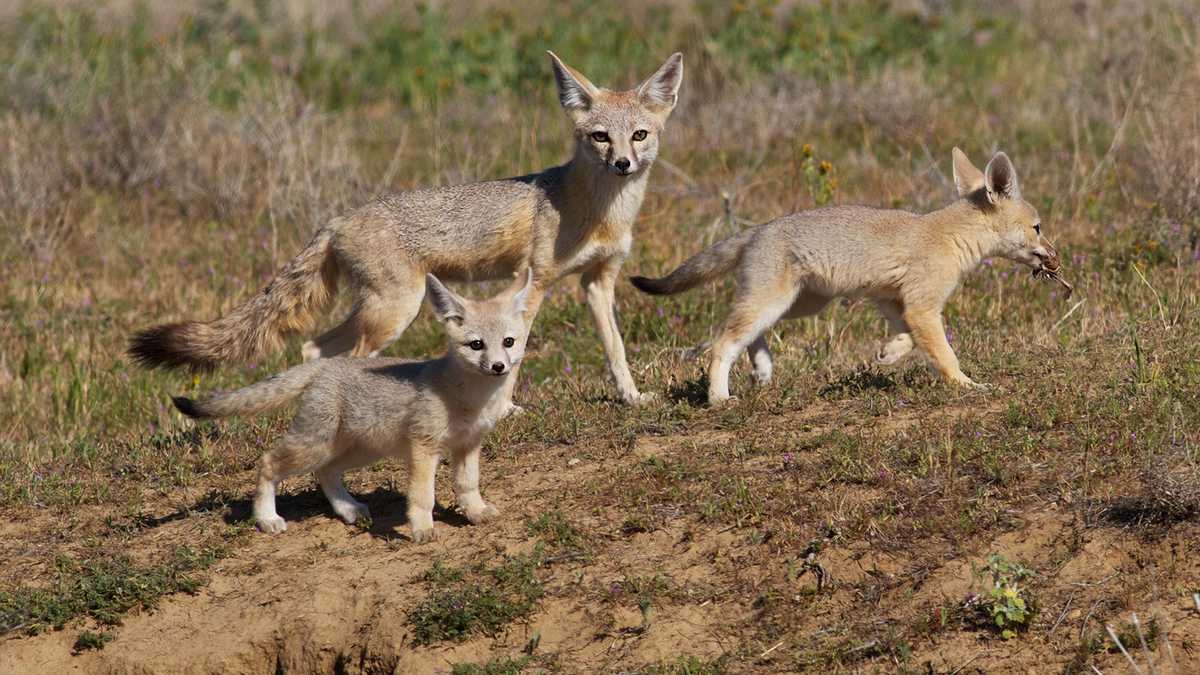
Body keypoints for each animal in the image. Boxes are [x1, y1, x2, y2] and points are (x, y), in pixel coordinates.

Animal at [129, 49, 686, 408]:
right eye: (600, 138)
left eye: (639, 134)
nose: (623, 164)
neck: (598, 211)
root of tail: (336, 220)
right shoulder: (532, 283)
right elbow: (515, 351)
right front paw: (505, 407)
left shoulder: (598, 281)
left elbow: (615, 349)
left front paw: (632, 397)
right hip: (395, 312)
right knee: (339, 355)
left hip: (381, 311)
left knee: (312, 349)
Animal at [171, 270, 532, 538]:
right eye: (476, 345)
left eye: (508, 342)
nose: (498, 367)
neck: (470, 398)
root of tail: (326, 365)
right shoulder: (424, 448)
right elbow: (422, 496)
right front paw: (422, 529)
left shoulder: (468, 446)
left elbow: (468, 485)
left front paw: (477, 513)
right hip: (315, 444)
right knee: (268, 462)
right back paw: (266, 518)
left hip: (361, 448)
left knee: (325, 471)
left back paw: (347, 508)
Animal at [633, 145, 1065, 403]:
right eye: (1038, 228)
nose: (1055, 257)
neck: (948, 234)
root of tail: (758, 229)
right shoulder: (923, 306)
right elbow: (945, 355)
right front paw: (967, 385)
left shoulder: (893, 300)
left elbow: (908, 338)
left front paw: (889, 353)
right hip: (774, 303)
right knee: (723, 341)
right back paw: (719, 397)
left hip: (798, 305)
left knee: (748, 336)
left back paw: (762, 371)